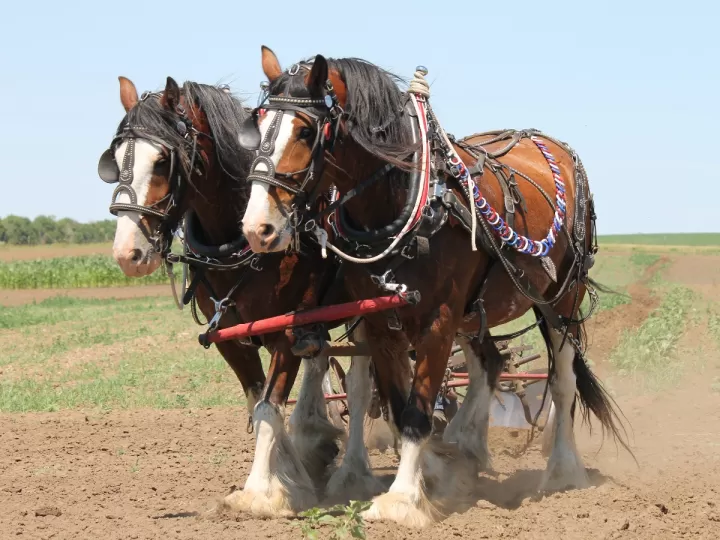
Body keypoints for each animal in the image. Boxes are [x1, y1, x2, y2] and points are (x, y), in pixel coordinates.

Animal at [97, 75, 376, 516]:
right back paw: (315, 440)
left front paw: (261, 491)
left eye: (162, 161)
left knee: (362, 387)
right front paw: (292, 472)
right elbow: (257, 404)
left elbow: (268, 408)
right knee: (319, 363)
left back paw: (353, 473)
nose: (128, 254)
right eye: (117, 157)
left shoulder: (285, 332)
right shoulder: (230, 337)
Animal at [237, 46, 629, 527]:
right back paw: (465, 446)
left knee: (562, 380)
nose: (257, 228)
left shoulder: (439, 321)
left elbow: (418, 411)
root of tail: (549, 143)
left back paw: (562, 470)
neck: (406, 203)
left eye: (307, 131)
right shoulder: (381, 323)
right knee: (489, 364)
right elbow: (397, 403)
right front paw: (428, 478)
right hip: (477, 310)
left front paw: (402, 500)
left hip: (560, 300)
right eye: (258, 125)